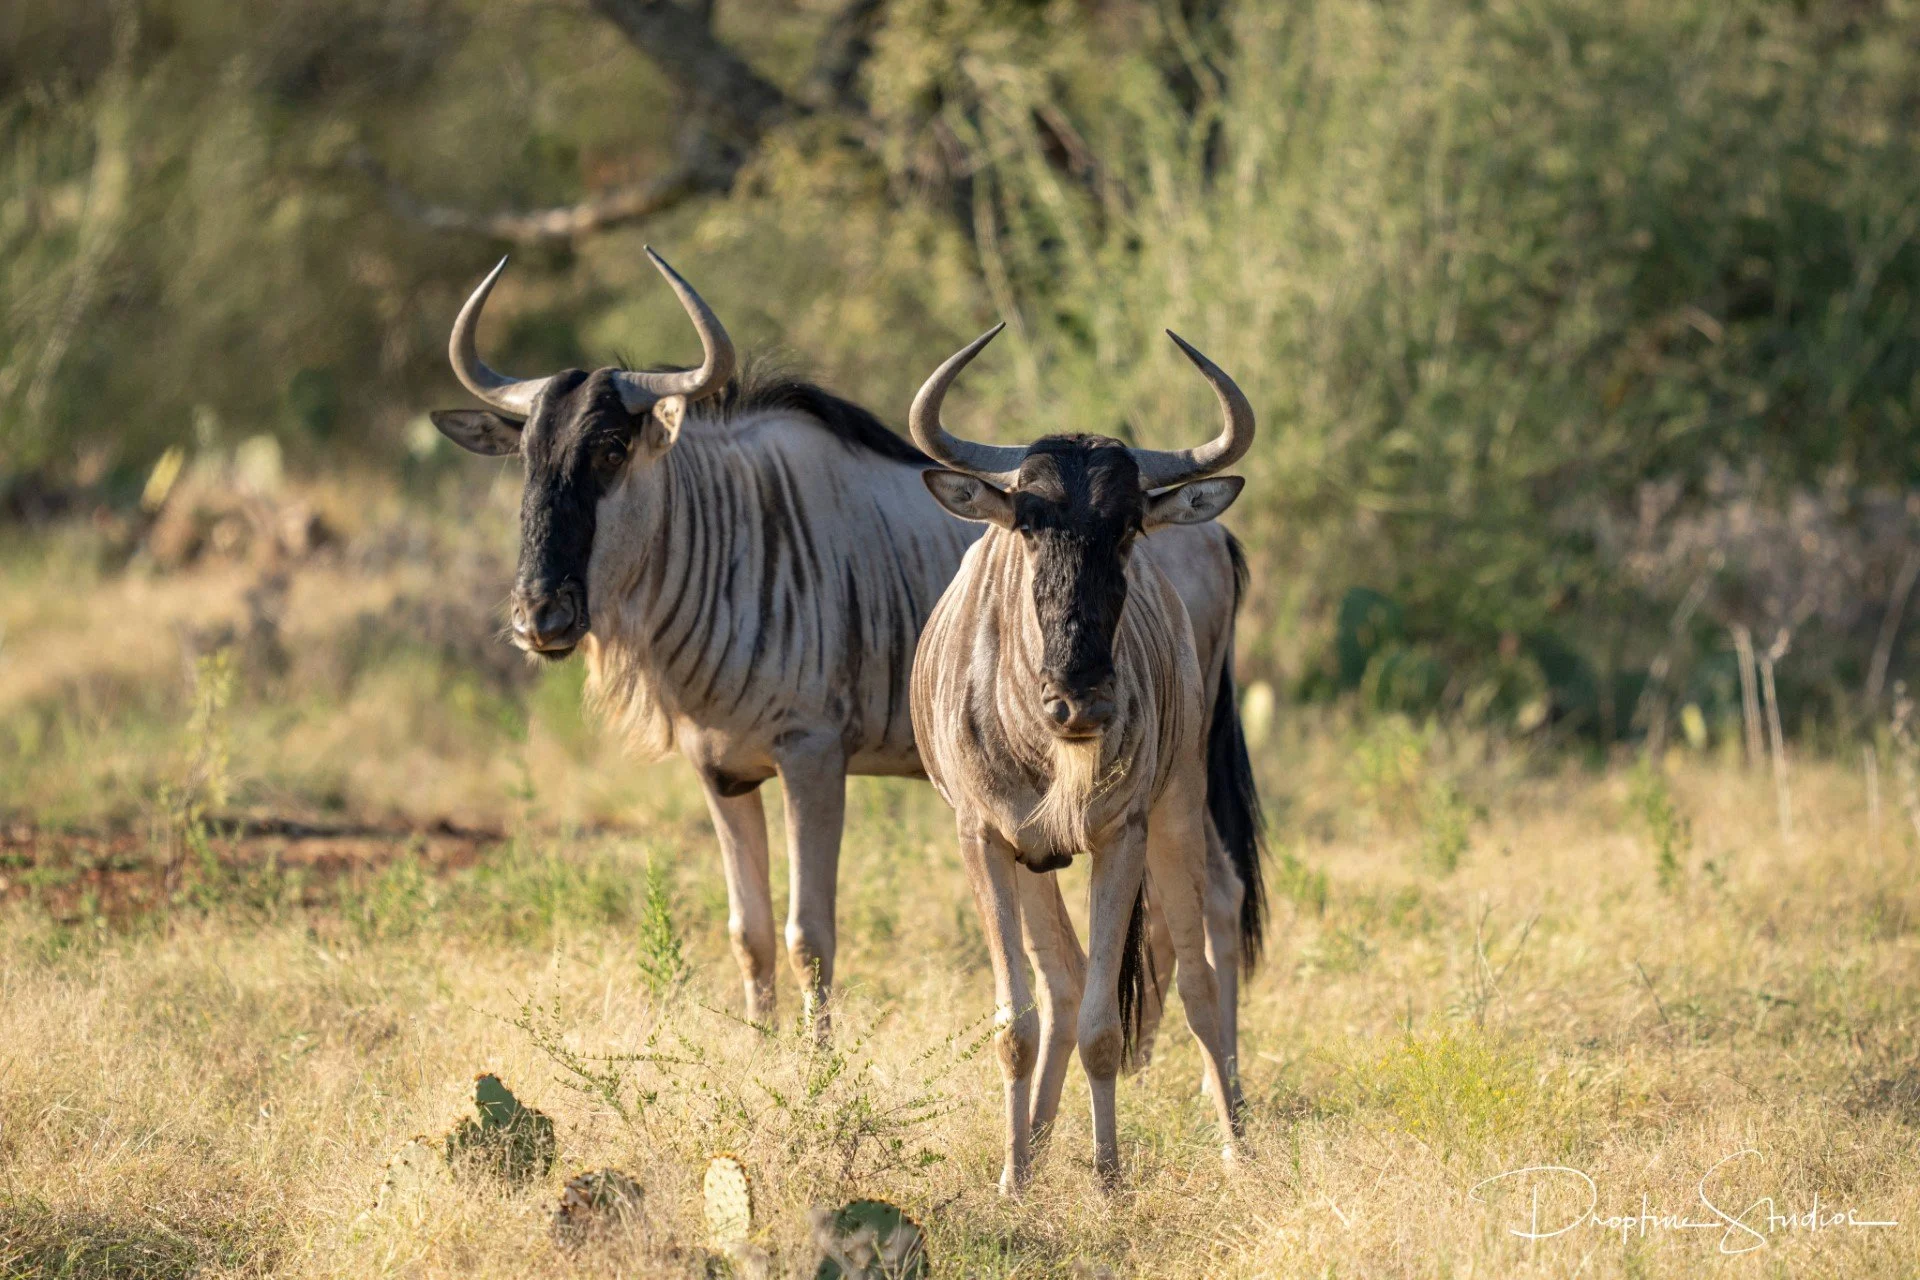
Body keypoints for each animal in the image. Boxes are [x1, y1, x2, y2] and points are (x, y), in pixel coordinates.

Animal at [427, 254, 1264, 1059]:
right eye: (527, 456)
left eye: (608, 450)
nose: (539, 615)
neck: (725, 532)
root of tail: (1214, 533)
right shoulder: (720, 771)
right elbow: (750, 933)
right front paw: (761, 1056)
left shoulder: (813, 758)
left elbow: (809, 933)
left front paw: (818, 1067)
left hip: (1182, 767)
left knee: (1217, 901)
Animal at [908, 323, 1251, 1190]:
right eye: (1028, 522)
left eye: (1127, 525)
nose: (1080, 701)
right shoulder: (985, 839)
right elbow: (1019, 1021)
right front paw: (1012, 1177)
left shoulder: (1120, 836)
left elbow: (1102, 1024)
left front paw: (1108, 1180)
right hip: (1041, 855)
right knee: (1061, 978)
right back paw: (1032, 1145)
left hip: (1180, 801)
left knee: (1201, 959)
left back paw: (1237, 1139)